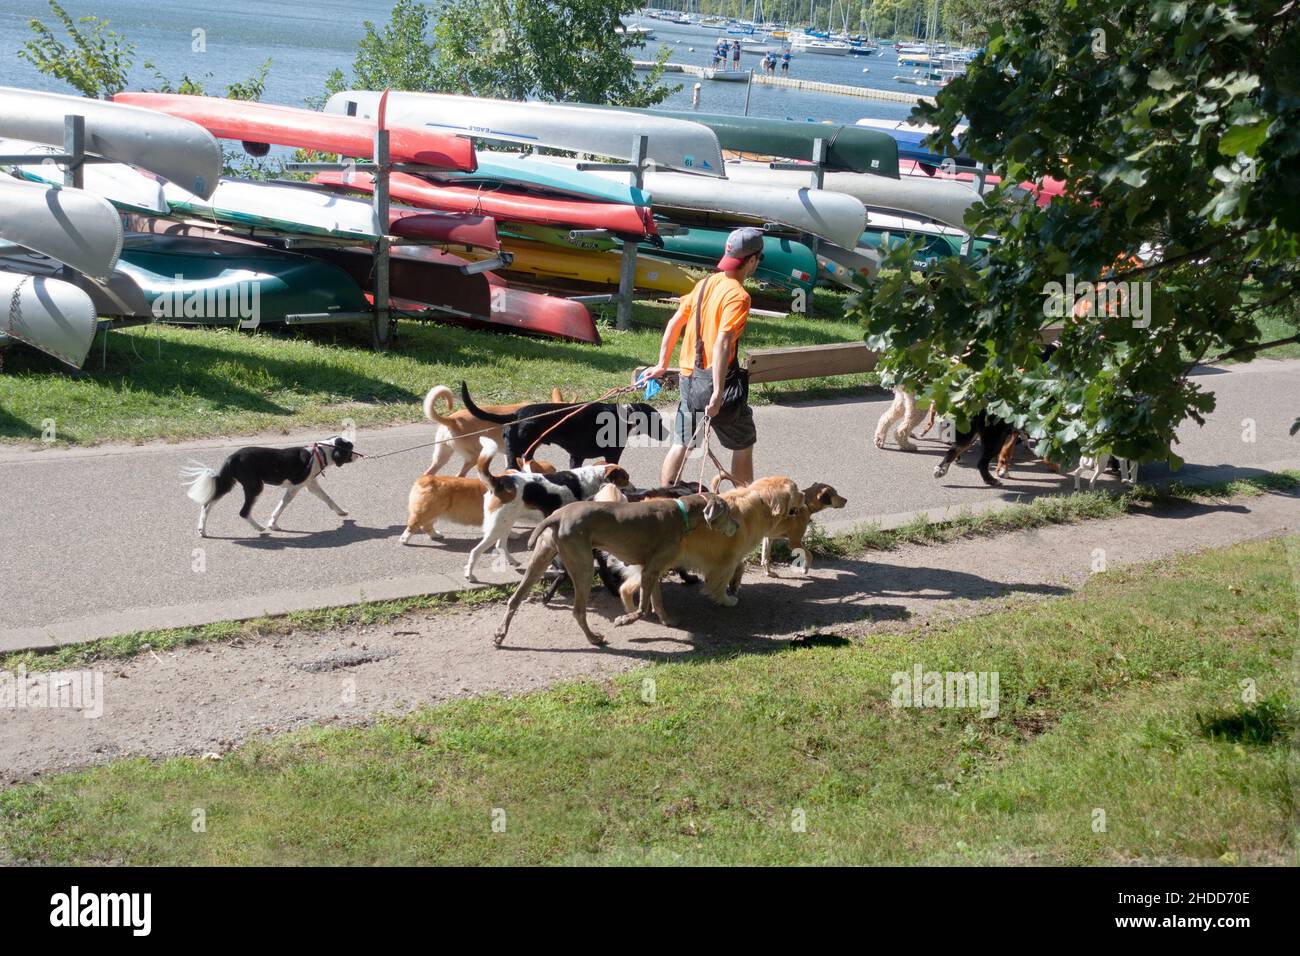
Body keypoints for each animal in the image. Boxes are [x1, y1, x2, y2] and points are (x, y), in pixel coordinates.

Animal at [183, 437, 356, 535]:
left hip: (228, 484)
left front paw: (341, 512)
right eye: (350, 449)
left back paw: (202, 530)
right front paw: (272, 524)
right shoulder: (295, 487)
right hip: (255, 486)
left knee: (207, 505)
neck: (320, 452)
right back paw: (259, 528)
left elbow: (328, 498)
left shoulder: (311, 484)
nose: (356, 455)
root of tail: (232, 457)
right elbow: (282, 505)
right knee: (243, 512)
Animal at [462, 382, 665, 468]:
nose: (668, 434)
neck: (626, 415)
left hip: (525, 452)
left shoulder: (576, 457)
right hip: (518, 453)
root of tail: (515, 415)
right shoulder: (612, 456)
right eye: (659, 420)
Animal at [493, 496, 743, 647]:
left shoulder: (651, 569)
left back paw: (500, 635)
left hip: (541, 557)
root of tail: (558, 515)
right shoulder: (649, 570)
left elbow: (657, 600)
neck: (681, 513)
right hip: (583, 566)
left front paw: (667, 620)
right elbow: (642, 609)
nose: (738, 525)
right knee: (578, 611)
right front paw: (624, 620)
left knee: (514, 600)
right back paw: (594, 638)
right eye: (729, 513)